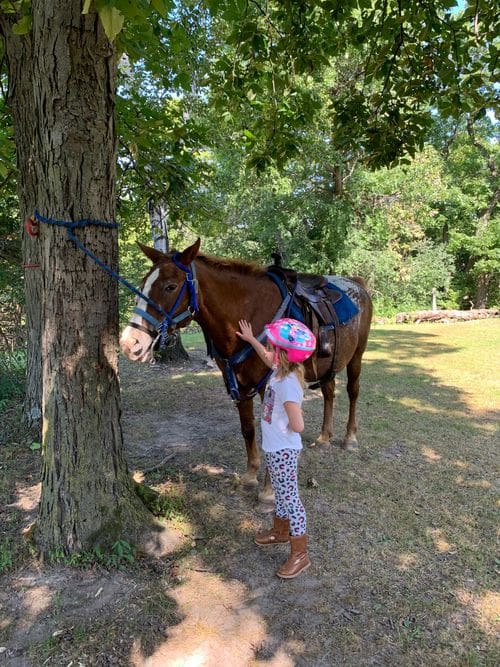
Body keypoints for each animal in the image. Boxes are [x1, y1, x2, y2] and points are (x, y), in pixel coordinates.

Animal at [120, 240, 372, 500]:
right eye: (143, 283)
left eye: (170, 286)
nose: (130, 343)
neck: (249, 315)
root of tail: (358, 285)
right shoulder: (237, 383)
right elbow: (248, 429)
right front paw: (250, 477)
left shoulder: (270, 386)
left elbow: (272, 432)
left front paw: (269, 491)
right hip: (328, 363)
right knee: (329, 392)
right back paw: (324, 438)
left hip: (357, 356)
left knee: (353, 391)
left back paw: (350, 438)